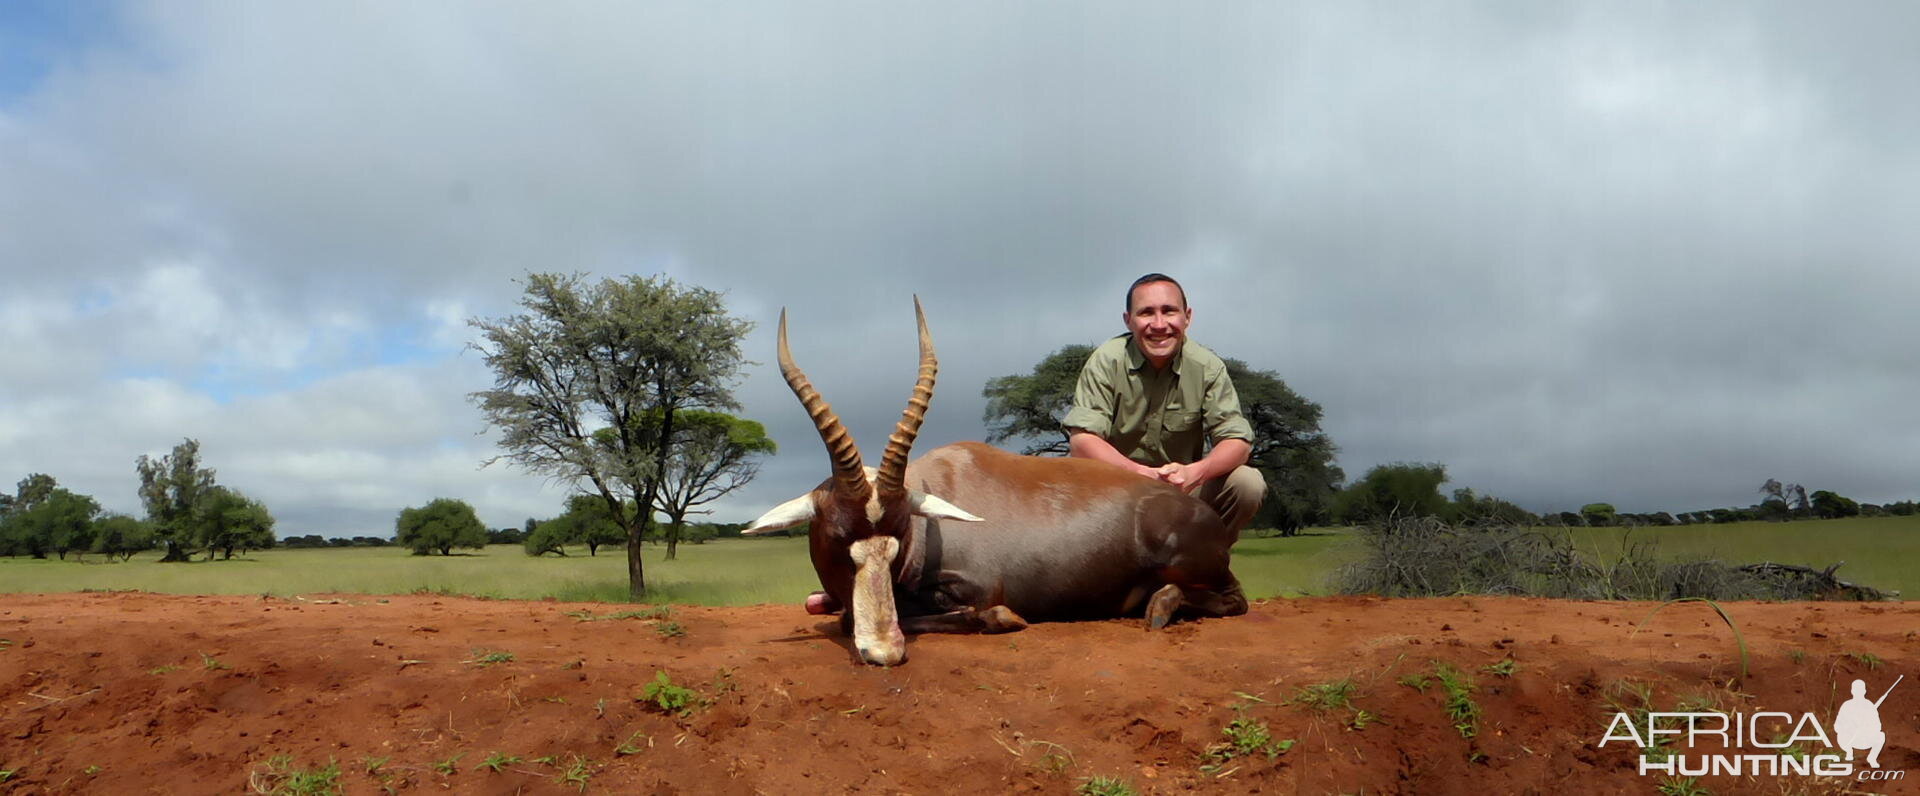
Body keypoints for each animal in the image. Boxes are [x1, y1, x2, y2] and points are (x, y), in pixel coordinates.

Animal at [741, 299, 1251, 667]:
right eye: (836, 536)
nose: (885, 652)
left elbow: (953, 611)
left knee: (1235, 601)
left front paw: (1003, 618)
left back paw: (1162, 607)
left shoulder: (978, 587)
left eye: (898, 537)